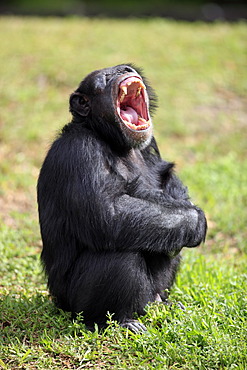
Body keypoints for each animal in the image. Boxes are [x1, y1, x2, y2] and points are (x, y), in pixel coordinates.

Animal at [37, 63, 206, 332]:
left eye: (124, 68)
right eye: (106, 77)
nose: (124, 70)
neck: (111, 139)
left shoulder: (152, 148)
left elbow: (168, 180)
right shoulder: (80, 151)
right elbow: (109, 212)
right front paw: (196, 220)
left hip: (150, 296)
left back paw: (164, 304)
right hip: (75, 306)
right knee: (121, 253)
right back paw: (121, 321)